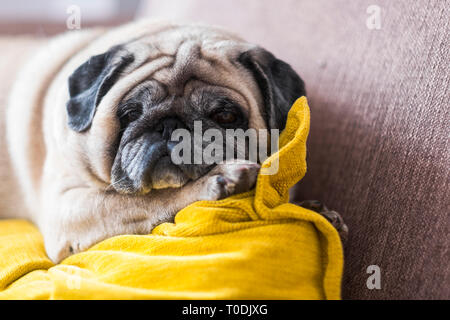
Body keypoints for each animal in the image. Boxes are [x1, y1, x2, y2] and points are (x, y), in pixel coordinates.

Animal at [0, 21, 342, 264]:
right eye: (130, 114)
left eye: (226, 115)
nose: (168, 126)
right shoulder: (69, 207)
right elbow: (149, 199)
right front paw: (220, 181)